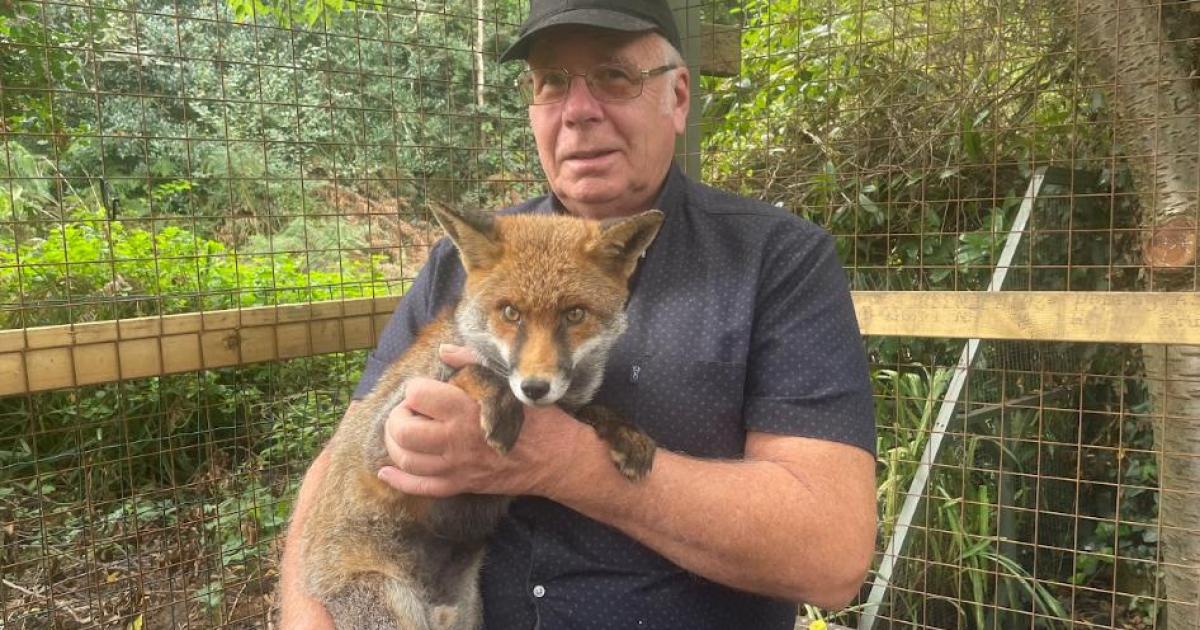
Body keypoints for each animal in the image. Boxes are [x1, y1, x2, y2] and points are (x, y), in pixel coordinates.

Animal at [298, 205, 664, 630]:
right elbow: (476, 372)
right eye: (510, 312)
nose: (534, 387)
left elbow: (592, 411)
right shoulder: (387, 440)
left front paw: (626, 434)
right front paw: (503, 400)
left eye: (574, 314)